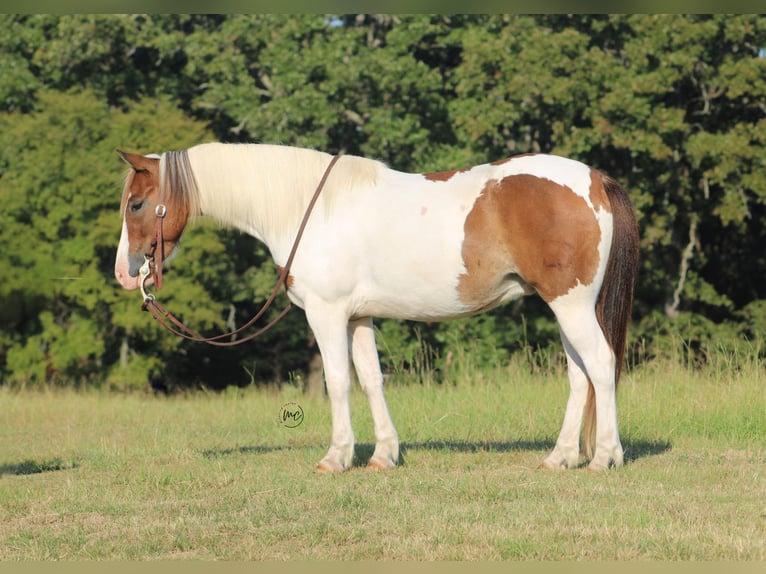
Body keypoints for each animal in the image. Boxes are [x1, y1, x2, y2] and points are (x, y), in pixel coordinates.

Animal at [114, 142, 639, 472]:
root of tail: (594, 179)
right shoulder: (357, 316)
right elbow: (370, 379)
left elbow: (337, 380)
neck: (308, 208)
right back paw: (559, 457)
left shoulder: (326, 313)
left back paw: (604, 457)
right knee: (580, 376)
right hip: (564, 306)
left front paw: (336, 457)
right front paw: (383, 456)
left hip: (571, 304)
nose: (125, 273)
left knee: (600, 364)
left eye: (137, 204)